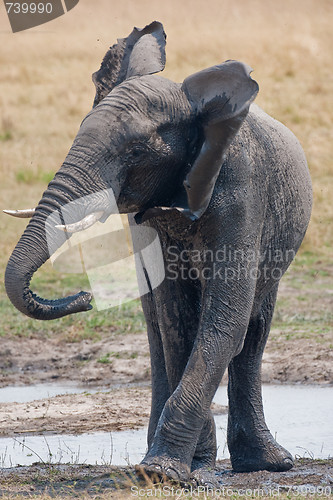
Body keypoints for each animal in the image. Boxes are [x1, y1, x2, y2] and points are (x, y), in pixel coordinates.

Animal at [5, 21, 312, 486]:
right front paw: (186, 467)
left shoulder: (244, 192)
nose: (85, 298)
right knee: (157, 327)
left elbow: (224, 321)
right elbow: (177, 321)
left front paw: (166, 471)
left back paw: (268, 464)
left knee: (254, 329)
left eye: (134, 152)